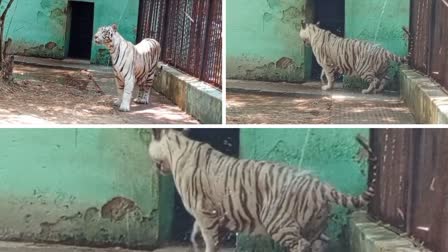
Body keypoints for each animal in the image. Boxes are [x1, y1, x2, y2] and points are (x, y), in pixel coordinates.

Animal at [149, 130, 376, 252]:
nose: (155, 167)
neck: (176, 150)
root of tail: (320, 185)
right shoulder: (207, 214)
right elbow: (196, 233)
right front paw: (195, 243)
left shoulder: (205, 212)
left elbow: (210, 240)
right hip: (314, 226)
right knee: (320, 244)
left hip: (278, 222)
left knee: (301, 245)